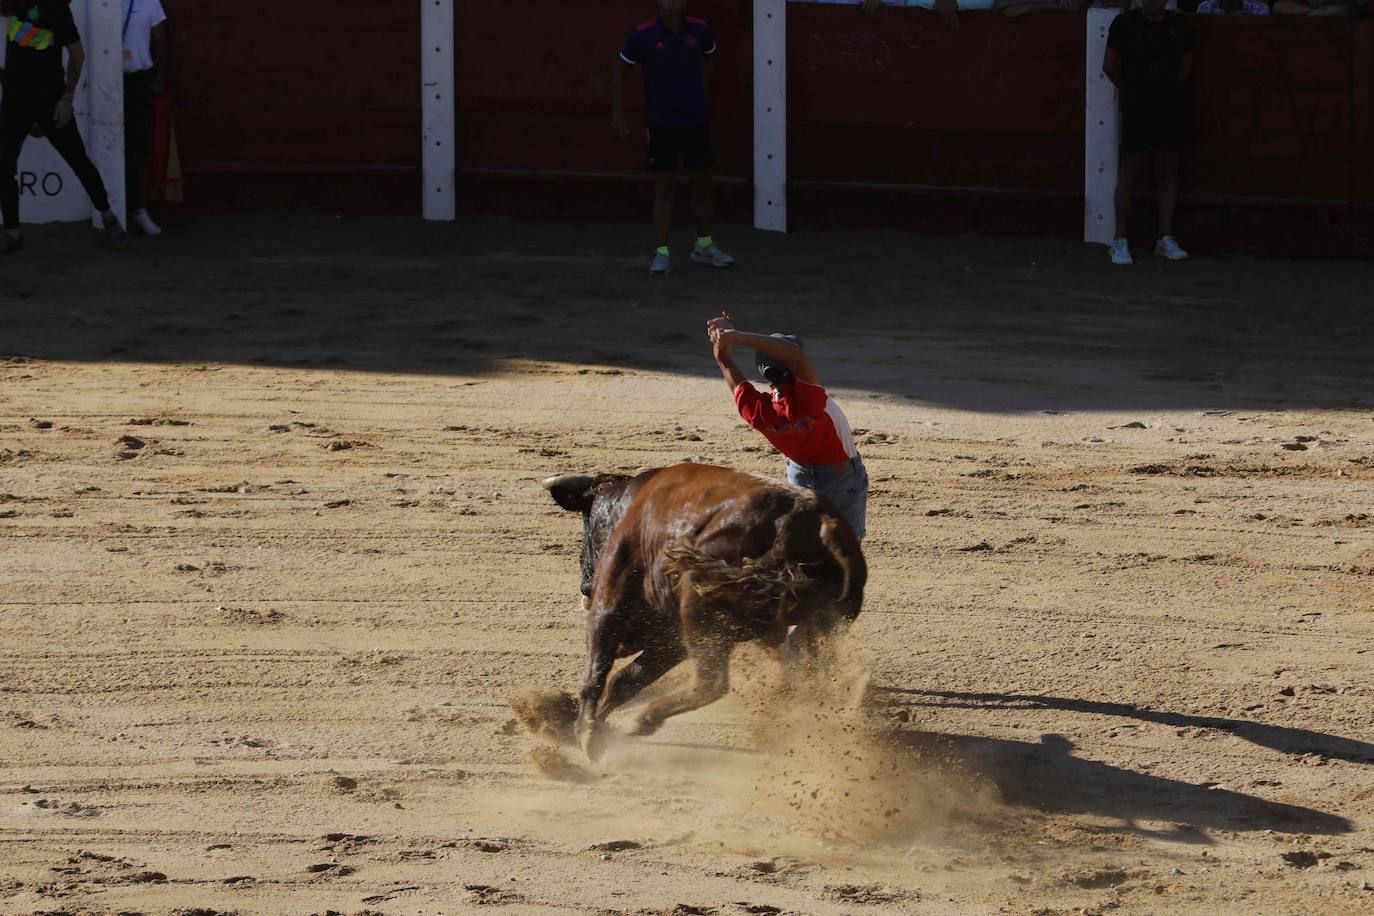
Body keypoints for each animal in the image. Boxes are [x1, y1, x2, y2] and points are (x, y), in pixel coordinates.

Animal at [541, 466, 862, 758]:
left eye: (587, 522)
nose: (586, 587)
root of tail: (816, 521)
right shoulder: (671, 639)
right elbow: (627, 680)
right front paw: (599, 727)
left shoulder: (610, 601)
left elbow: (597, 672)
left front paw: (587, 732)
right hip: (823, 628)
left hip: (698, 606)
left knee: (711, 683)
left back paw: (641, 719)